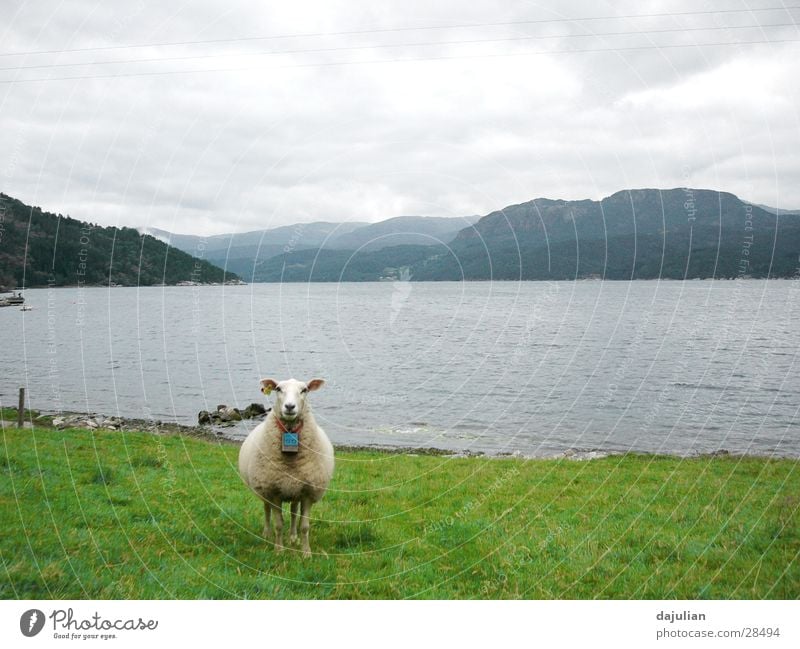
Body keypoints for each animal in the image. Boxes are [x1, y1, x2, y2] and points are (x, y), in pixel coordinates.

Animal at [239, 378, 336, 556]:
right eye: (278, 389)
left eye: (304, 390)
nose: (290, 407)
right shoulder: (273, 491)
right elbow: (278, 524)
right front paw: (279, 550)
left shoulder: (307, 492)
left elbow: (304, 526)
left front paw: (306, 552)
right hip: (264, 489)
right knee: (266, 510)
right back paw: (267, 534)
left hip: (295, 489)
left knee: (293, 512)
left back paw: (293, 537)